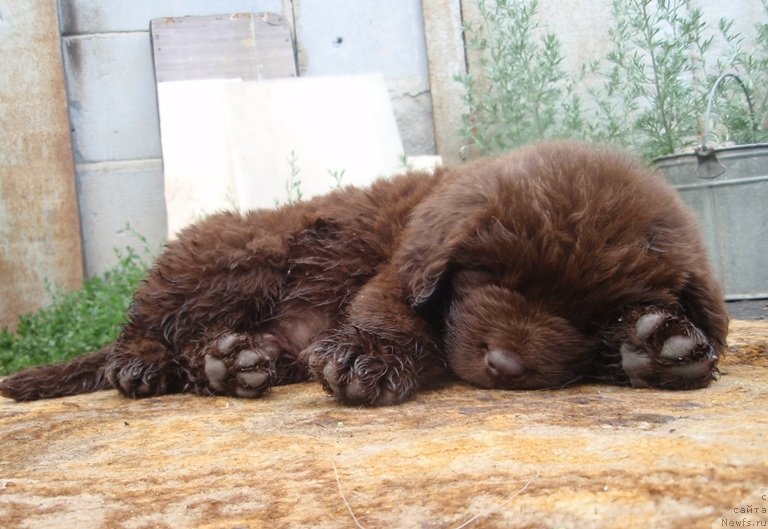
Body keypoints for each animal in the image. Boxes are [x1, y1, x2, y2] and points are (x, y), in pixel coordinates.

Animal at [0, 140, 728, 404]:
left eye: (592, 312)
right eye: (493, 276)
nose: (506, 366)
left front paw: (658, 342)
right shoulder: (399, 264)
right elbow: (394, 314)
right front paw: (370, 359)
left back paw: (233, 363)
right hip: (235, 255)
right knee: (145, 328)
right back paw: (151, 364)